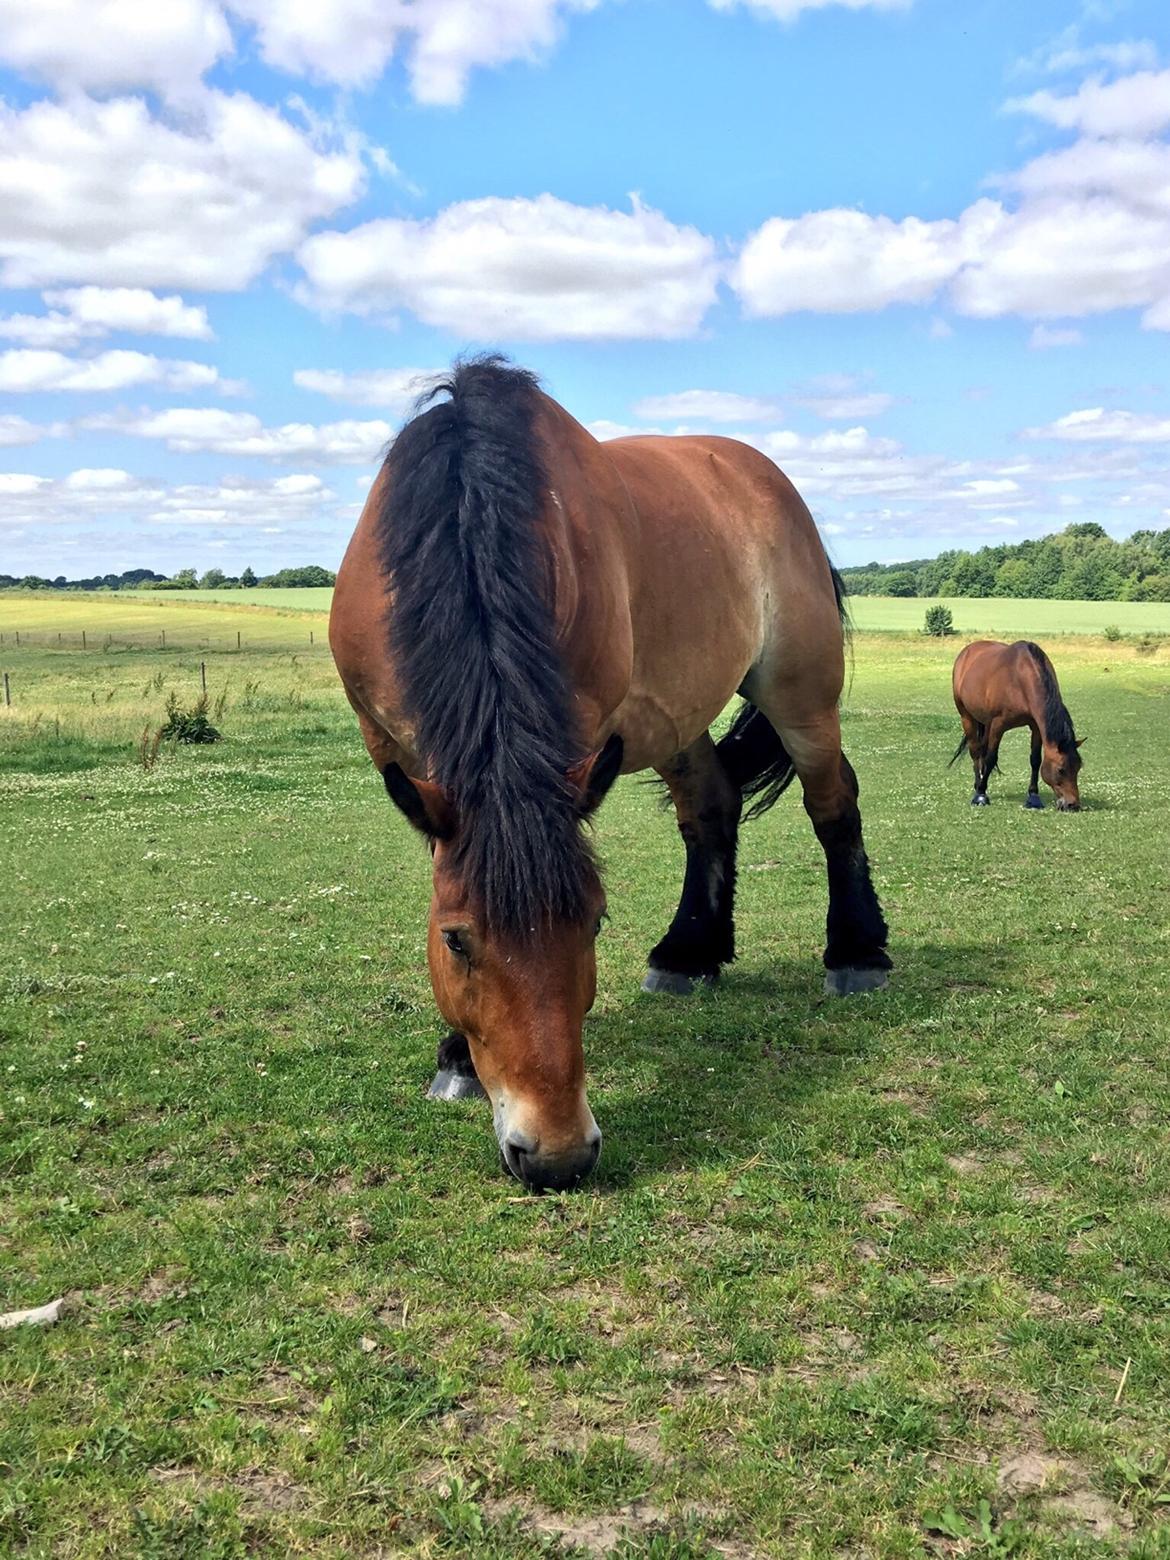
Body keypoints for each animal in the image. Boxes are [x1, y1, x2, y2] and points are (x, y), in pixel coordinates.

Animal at [330, 354, 886, 1185]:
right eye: (457, 940)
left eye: (593, 922)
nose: (556, 1156)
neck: (468, 506)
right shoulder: (394, 748)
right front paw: (457, 1056)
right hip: (674, 720)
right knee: (710, 808)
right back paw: (689, 954)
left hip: (801, 694)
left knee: (833, 804)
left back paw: (857, 953)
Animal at [954, 636, 1085, 811]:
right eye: (1061, 770)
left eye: (1078, 768)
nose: (1073, 805)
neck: (1020, 678)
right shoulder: (998, 725)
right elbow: (991, 758)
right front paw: (981, 795)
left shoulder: (1036, 726)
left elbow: (1035, 760)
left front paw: (1033, 797)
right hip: (966, 717)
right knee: (975, 751)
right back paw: (978, 787)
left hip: (985, 722)